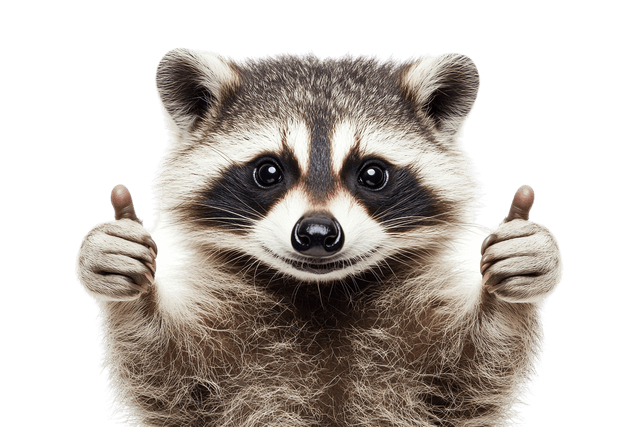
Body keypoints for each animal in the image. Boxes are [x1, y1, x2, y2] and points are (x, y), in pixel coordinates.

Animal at [75, 48, 563, 426]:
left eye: (372, 174)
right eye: (268, 171)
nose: (316, 231)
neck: (321, 292)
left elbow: (470, 380)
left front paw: (503, 296)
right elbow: (169, 382)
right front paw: (134, 296)